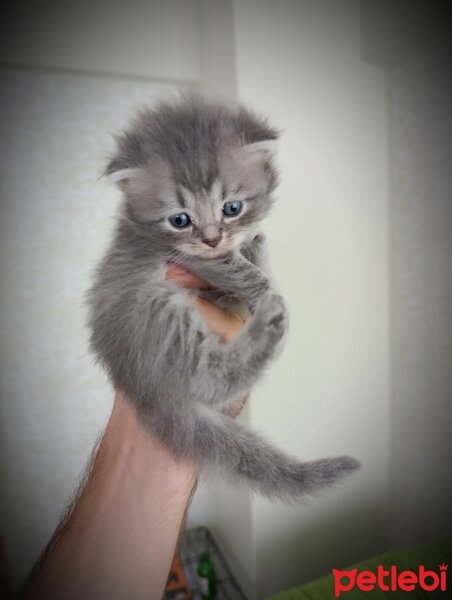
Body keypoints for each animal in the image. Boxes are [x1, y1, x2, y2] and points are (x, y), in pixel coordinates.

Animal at [86, 94, 358, 500]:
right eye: (179, 220)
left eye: (232, 208)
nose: (213, 239)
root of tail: (141, 388)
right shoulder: (189, 258)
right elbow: (241, 272)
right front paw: (266, 292)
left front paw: (255, 251)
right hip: (155, 312)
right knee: (209, 379)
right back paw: (267, 326)